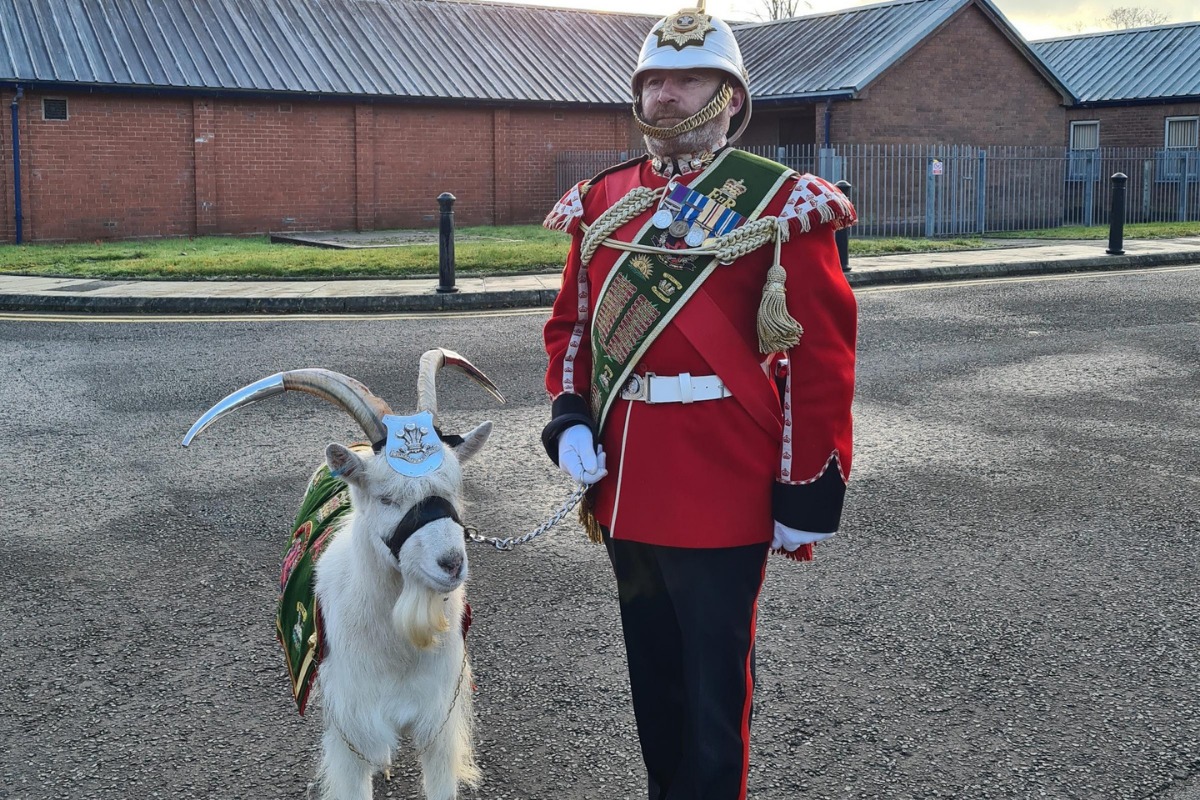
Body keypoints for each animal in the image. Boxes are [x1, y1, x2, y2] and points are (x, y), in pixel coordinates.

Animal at [180, 350, 504, 800]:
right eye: (385, 498)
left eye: (454, 487)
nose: (451, 563)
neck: (397, 648)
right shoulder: (352, 726)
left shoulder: (438, 720)